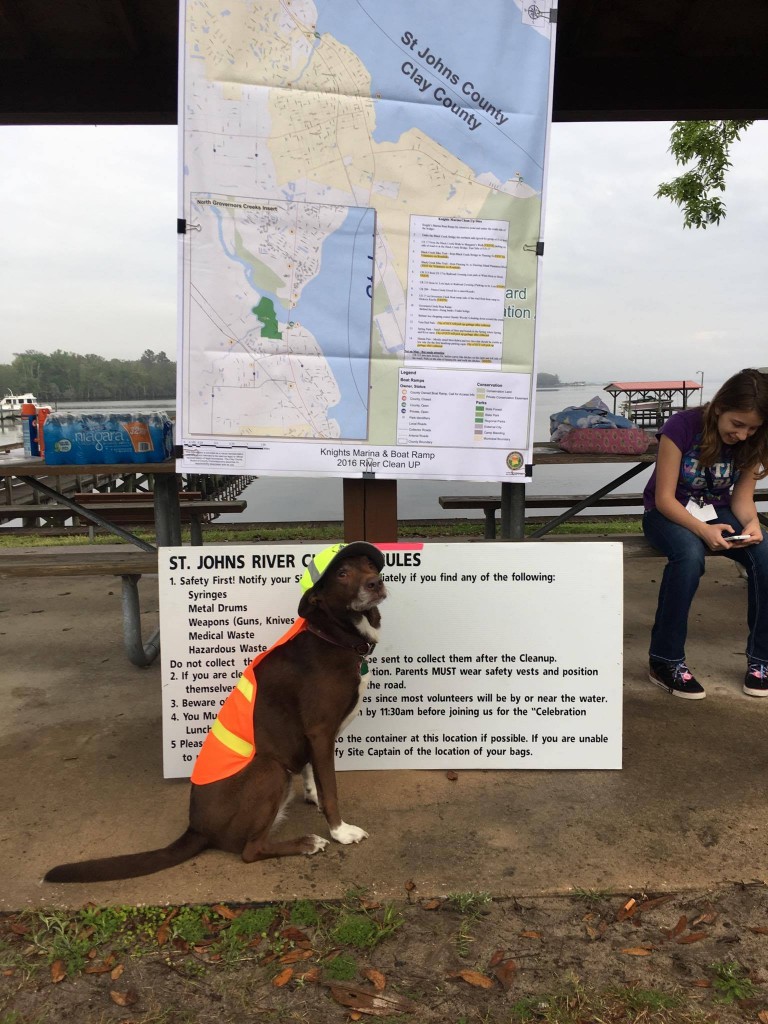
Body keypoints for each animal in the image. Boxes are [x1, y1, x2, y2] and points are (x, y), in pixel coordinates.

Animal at [45, 540, 387, 884]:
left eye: (371, 566)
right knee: (250, 851)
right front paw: (340, 832)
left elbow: (311, 773)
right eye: (342, 573)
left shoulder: (309, 739)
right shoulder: (320, 731)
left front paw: (312, 795)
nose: (376, 583)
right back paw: (307, 843)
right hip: (271, 769)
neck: (331, 634)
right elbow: (331, 789)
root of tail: (196, 829)